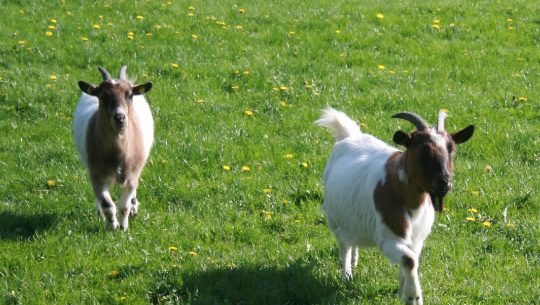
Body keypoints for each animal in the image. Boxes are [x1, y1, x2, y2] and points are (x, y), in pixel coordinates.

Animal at [73, 65, 154, 229]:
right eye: (103, 96)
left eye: (130, 95)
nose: (120, 117)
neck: (118, 155)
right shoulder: (97, 175)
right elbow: (107, 205)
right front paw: (111, 226)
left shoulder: (131, 176)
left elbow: (124, 205)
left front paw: (123, 227)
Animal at [316, 107, 472, 304]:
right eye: (421, 150)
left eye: (451, 149)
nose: (445, 182)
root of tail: (349, 136)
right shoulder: (388, 237)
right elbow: (410, 261)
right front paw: (413, 297)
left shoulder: (417, 239)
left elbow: (412, 261)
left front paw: (401, 291)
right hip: (334, 219)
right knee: (344, 245)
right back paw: (347, 275)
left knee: (353, 241)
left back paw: (354, 261)